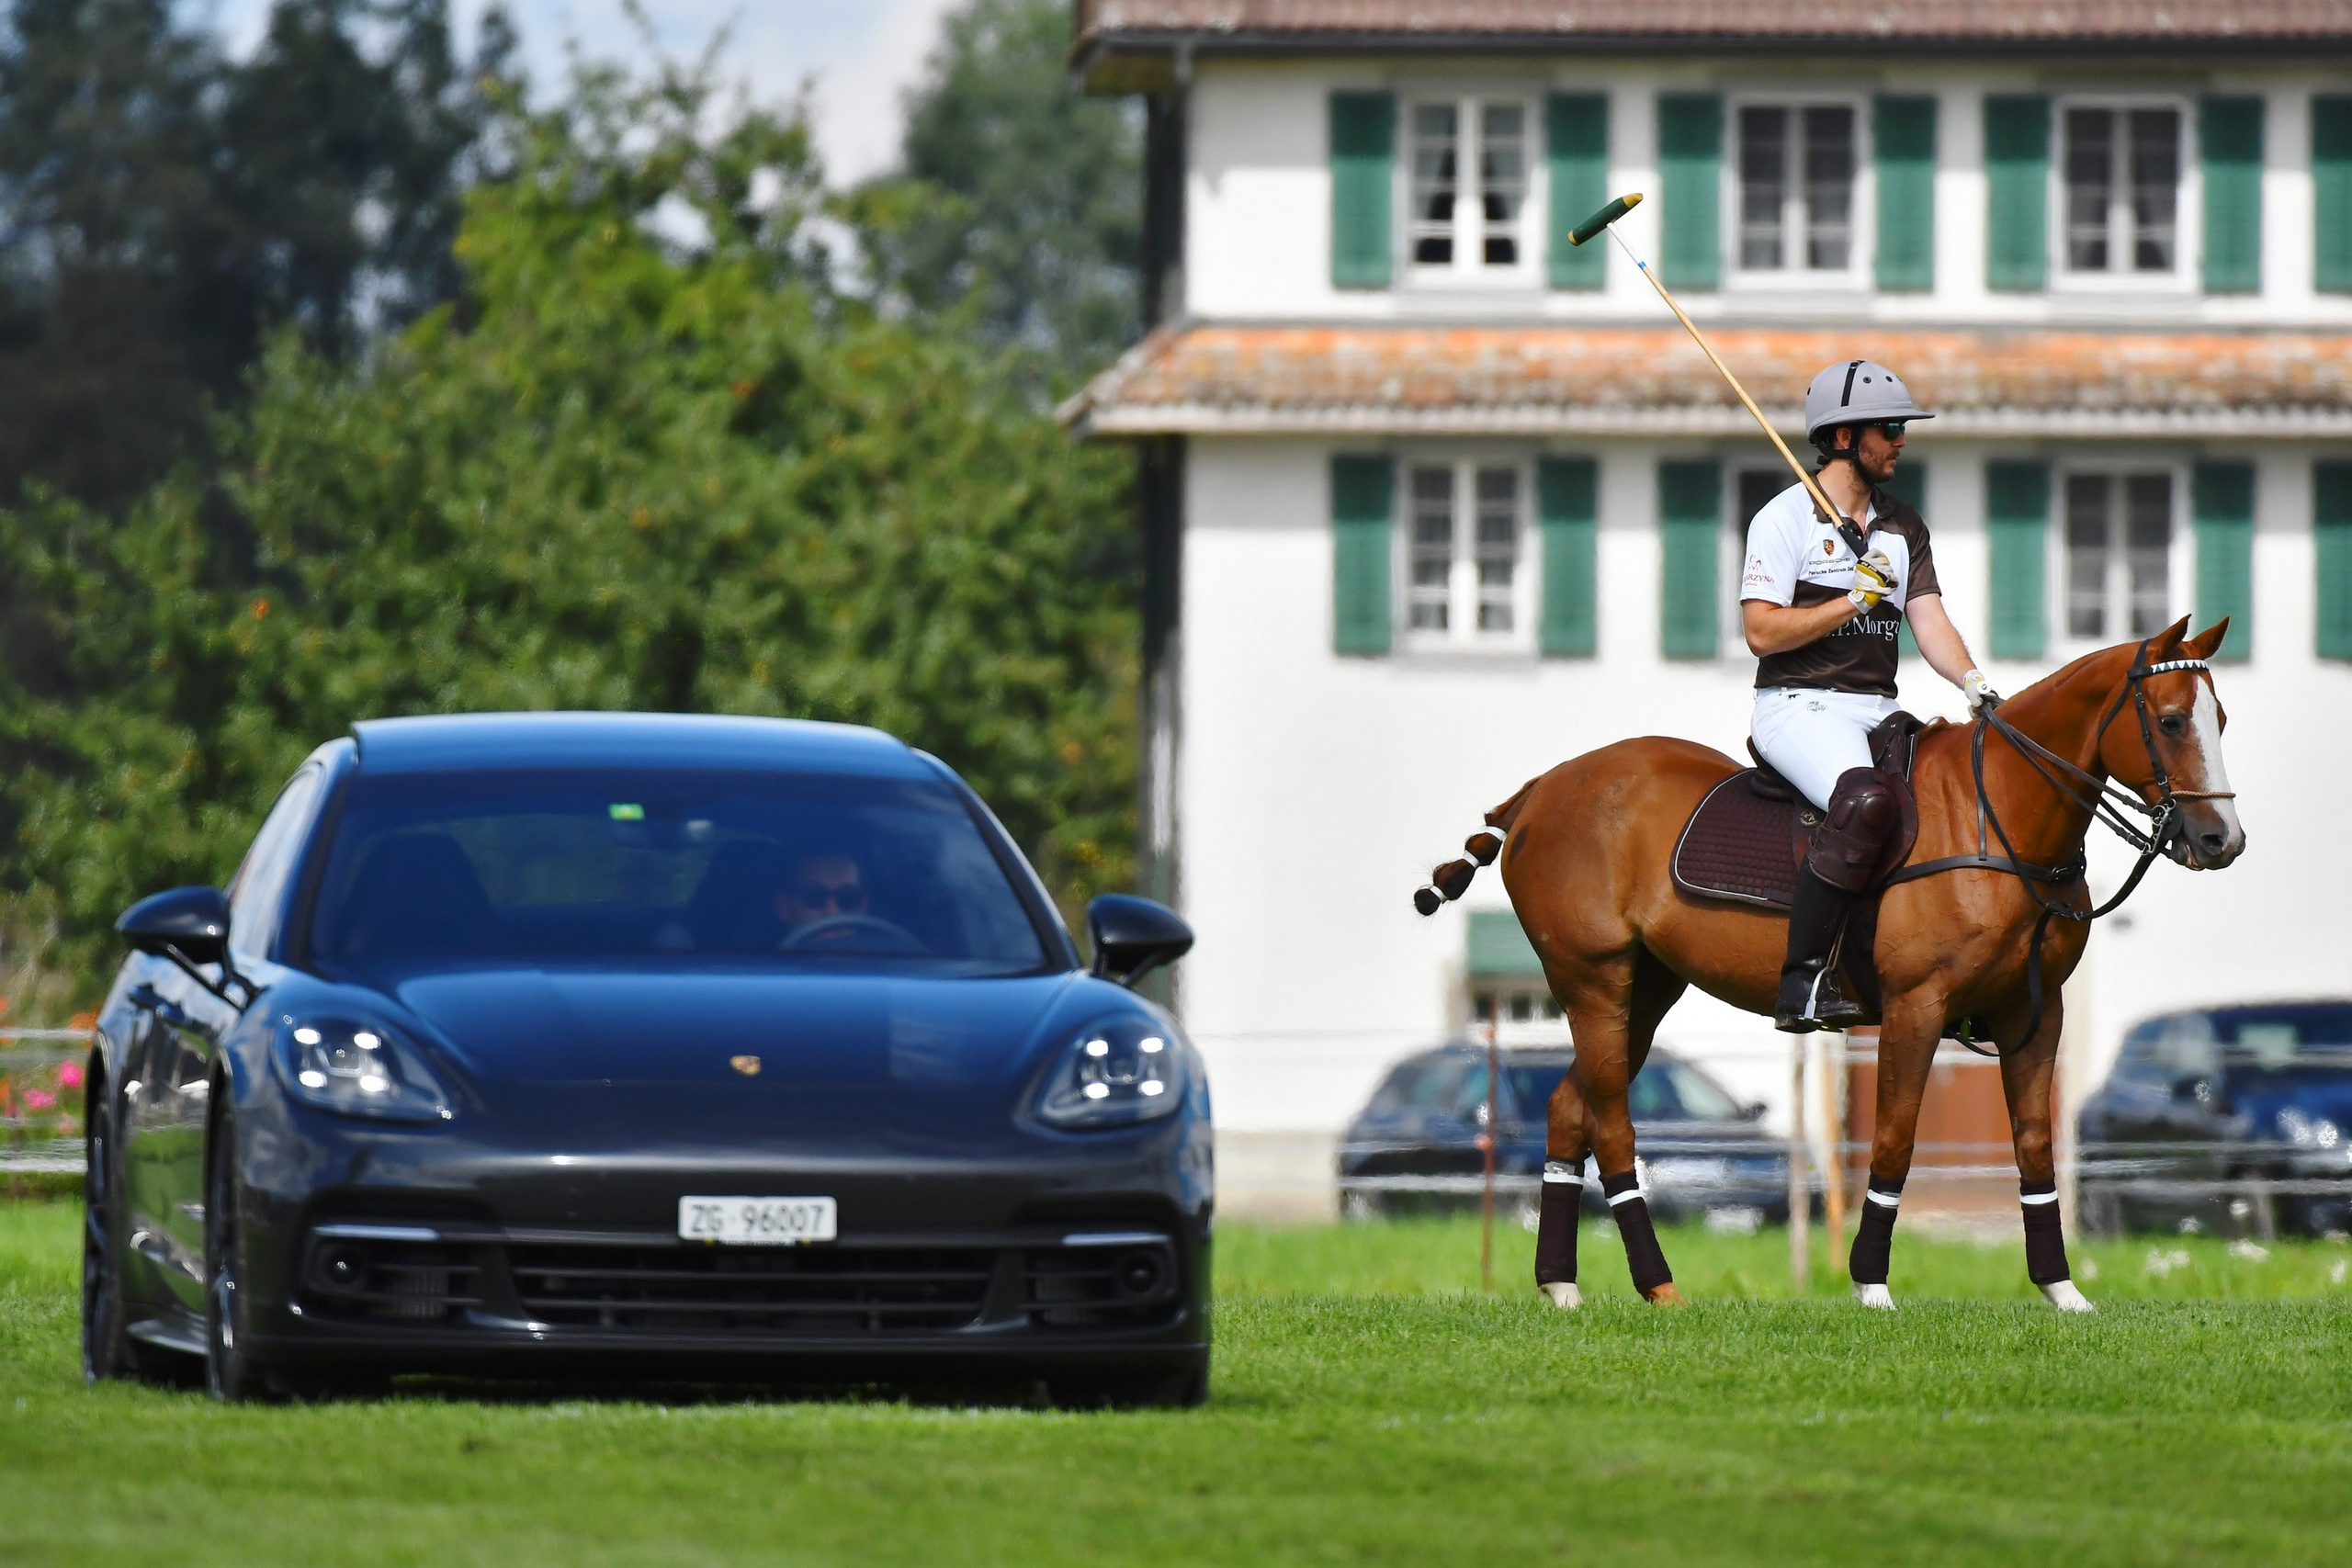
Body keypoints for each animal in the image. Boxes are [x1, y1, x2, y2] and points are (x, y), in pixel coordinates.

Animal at [1416, 618, 2245, 1310]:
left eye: (2222, 719)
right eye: (2171, 720)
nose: (2222, 841)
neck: (2000, 820)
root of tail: (1536, 794)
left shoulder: (2033, 1015)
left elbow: (2036, 1144)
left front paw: (2061, 1291)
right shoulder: (1916, 1006)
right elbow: (1894, 1139)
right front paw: (1872, 1285)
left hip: (1648, 989)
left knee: (1569, 1108)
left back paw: (1561, 1284)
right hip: (1593, 979)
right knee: (1613, 1121)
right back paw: (1659, 1284)